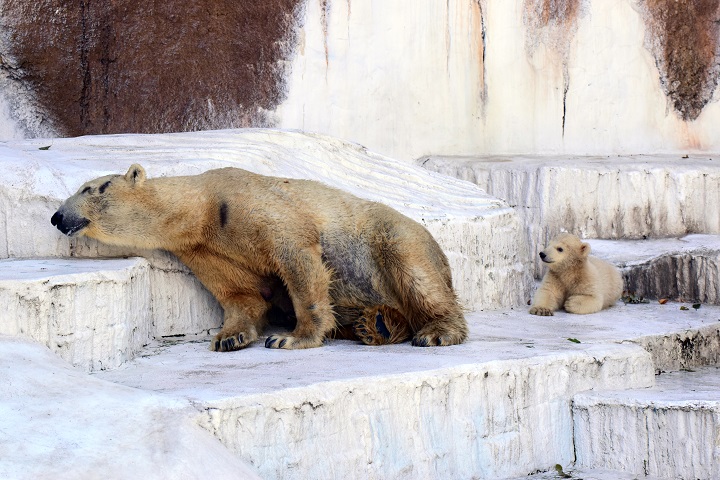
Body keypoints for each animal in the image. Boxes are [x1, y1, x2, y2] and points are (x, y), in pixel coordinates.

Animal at [50, 166, 466, 352]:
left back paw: (436, 331)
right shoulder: (205, 249)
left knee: (417, 274)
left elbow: (296, 255)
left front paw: (290, 337)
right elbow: (242, 293)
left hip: (391, 235)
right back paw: (375, 324)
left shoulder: (249, 206)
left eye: (92, 188)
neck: (202, 208)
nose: (57, 216)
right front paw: (229, 337)